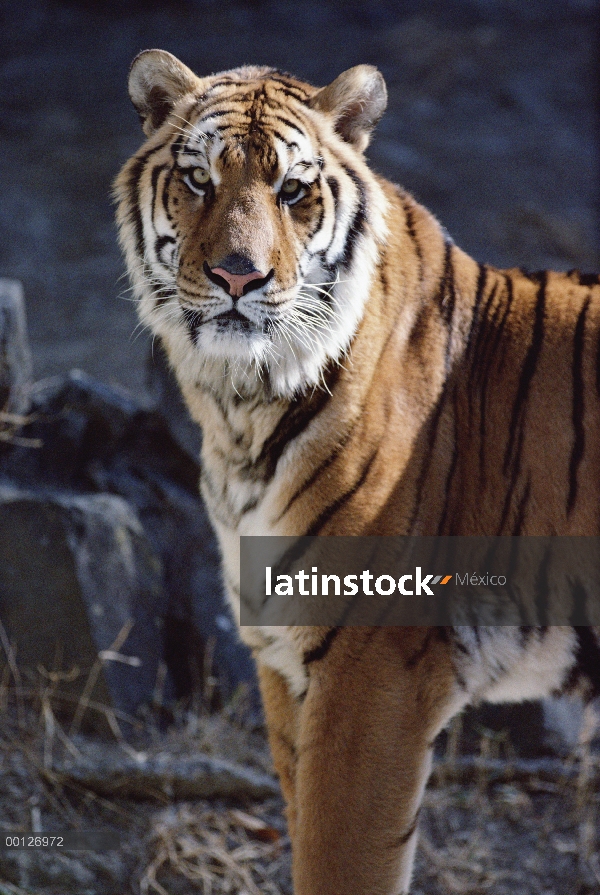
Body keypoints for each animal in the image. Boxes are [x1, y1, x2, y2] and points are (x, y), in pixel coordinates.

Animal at [116, 50, 600, 895]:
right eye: (200, 180)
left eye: (292, 190)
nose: (237, 277)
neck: (240, 409)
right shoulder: (282, 661)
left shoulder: (371, 671)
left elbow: (337, 857)